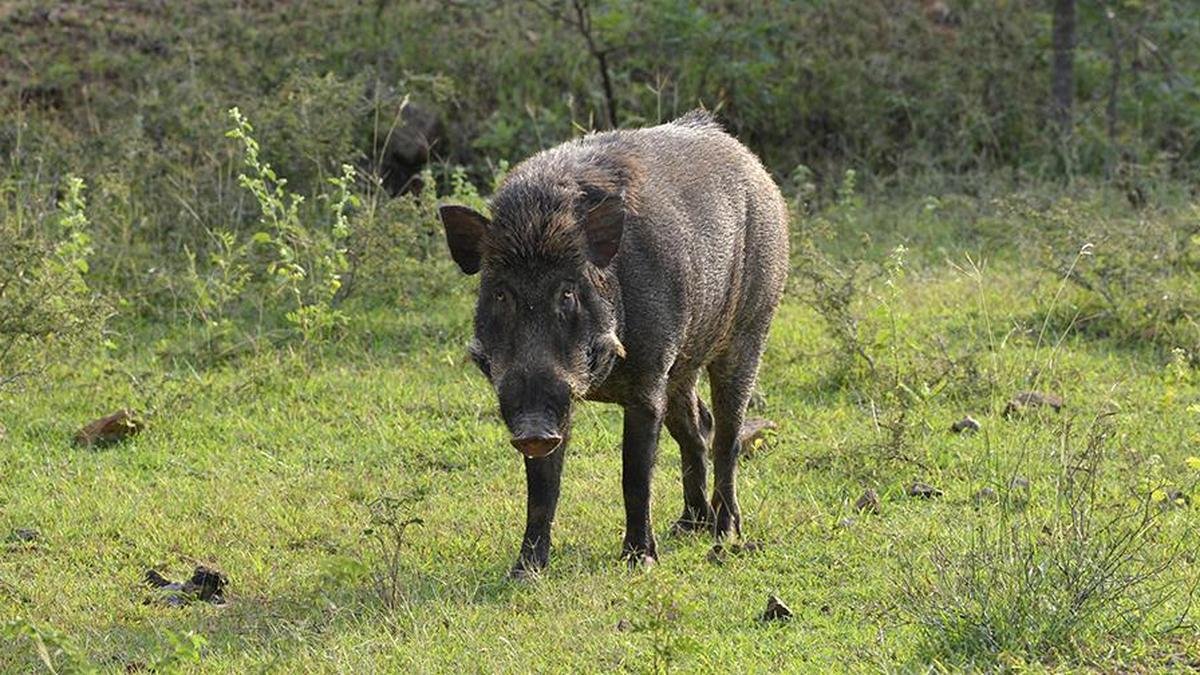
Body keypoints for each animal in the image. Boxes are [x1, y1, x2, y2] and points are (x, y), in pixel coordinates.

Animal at [438, 110, 788, 576]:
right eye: (500, 293)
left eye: (568, 293)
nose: (533, 430)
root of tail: (754, 165)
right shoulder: (563, 399)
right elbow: (542, 488)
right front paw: (525, 571)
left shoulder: (648, 376)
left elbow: (634, 474)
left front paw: (640, 561)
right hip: (682, 366)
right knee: (697, 428)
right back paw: (688, 527)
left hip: (751, 328)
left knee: (726, 435)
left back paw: (725, 532)